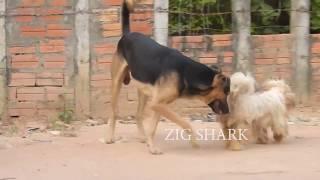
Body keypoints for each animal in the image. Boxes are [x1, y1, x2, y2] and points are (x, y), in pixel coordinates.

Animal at [107, 0, 230, 155]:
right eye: (226, 92)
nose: (228, 112)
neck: (186, 73)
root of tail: (127, 34)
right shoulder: (158, 104)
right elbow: (185, 123)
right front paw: (194, 141)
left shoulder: (159, 104)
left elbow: (152, 128)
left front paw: (151, 147)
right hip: (116, 83)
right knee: (114, 112)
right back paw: (110, 137)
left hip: (143, 90)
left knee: (138, 115)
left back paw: (142, 137)